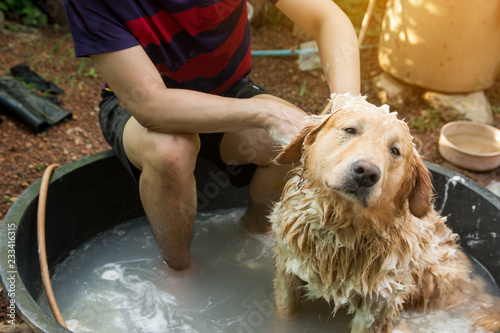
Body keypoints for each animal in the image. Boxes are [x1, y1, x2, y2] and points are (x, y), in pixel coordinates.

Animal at [270, 93, 500, 332]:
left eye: (395, 150)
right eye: (350, 130)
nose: (366, 173)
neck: (342, 230)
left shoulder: (378, 302)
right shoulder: (288, 270)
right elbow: (285, 313)